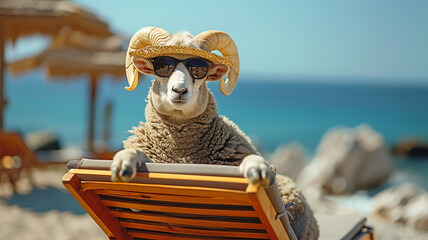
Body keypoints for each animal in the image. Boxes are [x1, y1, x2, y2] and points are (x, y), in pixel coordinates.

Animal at [110, 27, 318, 239]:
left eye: (200, 69)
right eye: (162, 66)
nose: (179, 90)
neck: (182, 154)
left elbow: (252, 161)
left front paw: (257, 168)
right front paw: (124, 161)